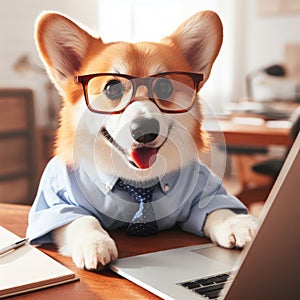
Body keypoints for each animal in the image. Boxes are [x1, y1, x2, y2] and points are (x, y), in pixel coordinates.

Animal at [27, 11, 258, 270]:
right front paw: (94, 243)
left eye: (165, 86)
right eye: (112, 88)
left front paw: (238, 224)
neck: (137, 181)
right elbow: (80, 219)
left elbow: (218, 208)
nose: (145, 130)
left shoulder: (203, 187)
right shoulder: (55, 202)